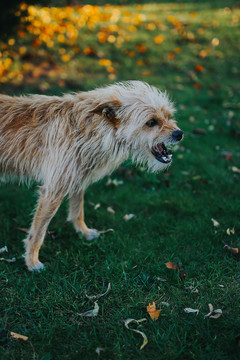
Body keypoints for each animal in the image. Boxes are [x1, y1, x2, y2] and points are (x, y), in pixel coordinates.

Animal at [0, 81, 184, 272]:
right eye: (151, 122)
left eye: (168, 116)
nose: (179, 133)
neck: (88, 128)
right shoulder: (53, 191)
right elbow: (37, 233)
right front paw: (31, 262)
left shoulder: (77, 180)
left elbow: (77, 210)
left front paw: (84, 233)